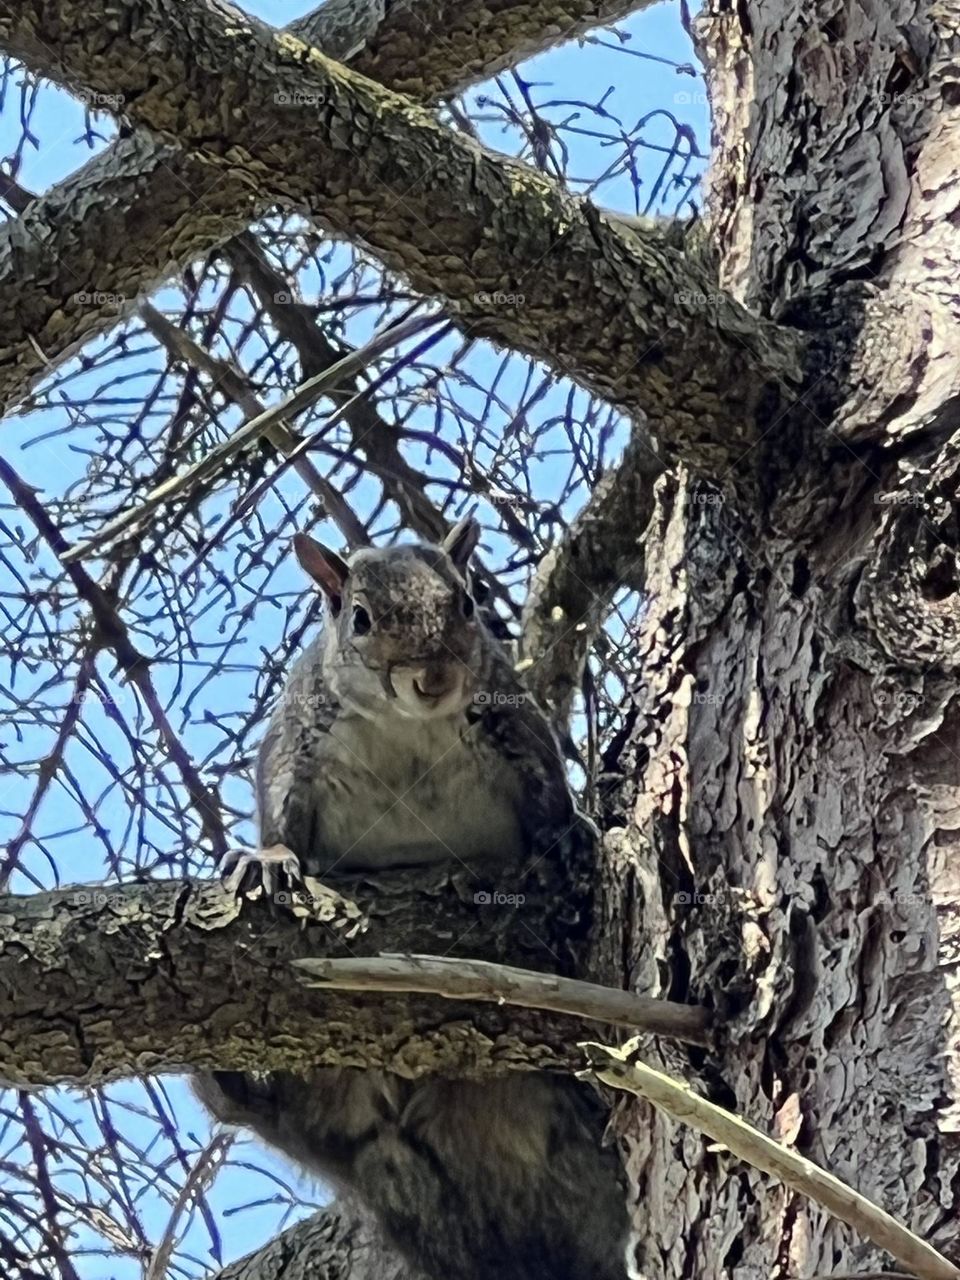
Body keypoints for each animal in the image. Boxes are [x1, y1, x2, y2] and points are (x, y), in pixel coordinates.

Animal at [194, 519, 629, 1280]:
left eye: (467, 602)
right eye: (360, 618)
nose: (434, 678)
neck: (407, 726)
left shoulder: (516, 723)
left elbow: (548, 789)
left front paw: (569, 831)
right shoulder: (295, 745)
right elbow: (281, 818)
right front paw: (268, 859)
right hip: (332, 1094)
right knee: (281, 1116)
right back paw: (230, 1083)